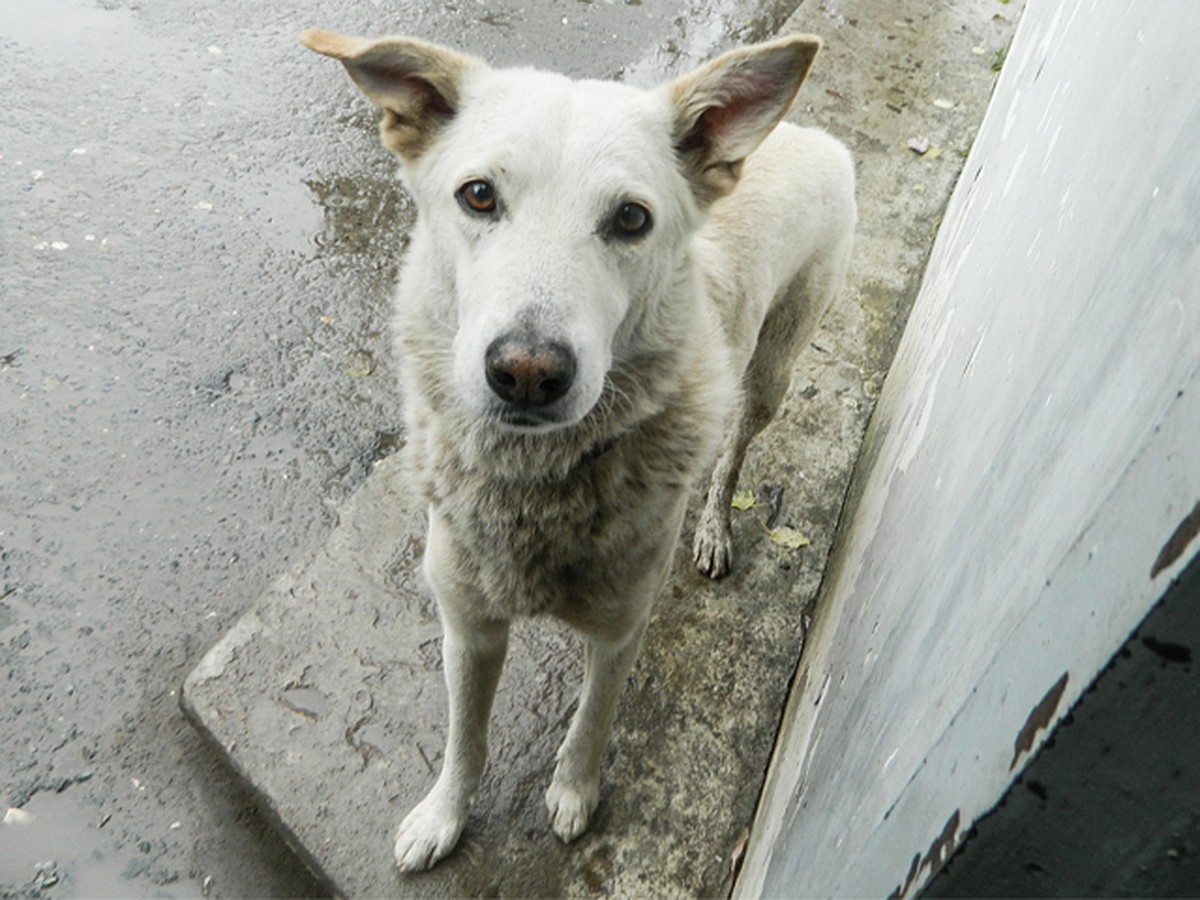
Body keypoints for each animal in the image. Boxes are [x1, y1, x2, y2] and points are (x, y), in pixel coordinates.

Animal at [304, 28, 859, 873]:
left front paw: (572, 795)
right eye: (478, 195)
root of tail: (806, 134)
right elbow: (464, 739)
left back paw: (713, 528)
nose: (527, 373)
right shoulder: (467, 626)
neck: (536, 488)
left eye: (630, 218)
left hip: (773, 373)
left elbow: (592, 723)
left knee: (733, 447)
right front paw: (443, 817)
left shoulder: (619, 631)